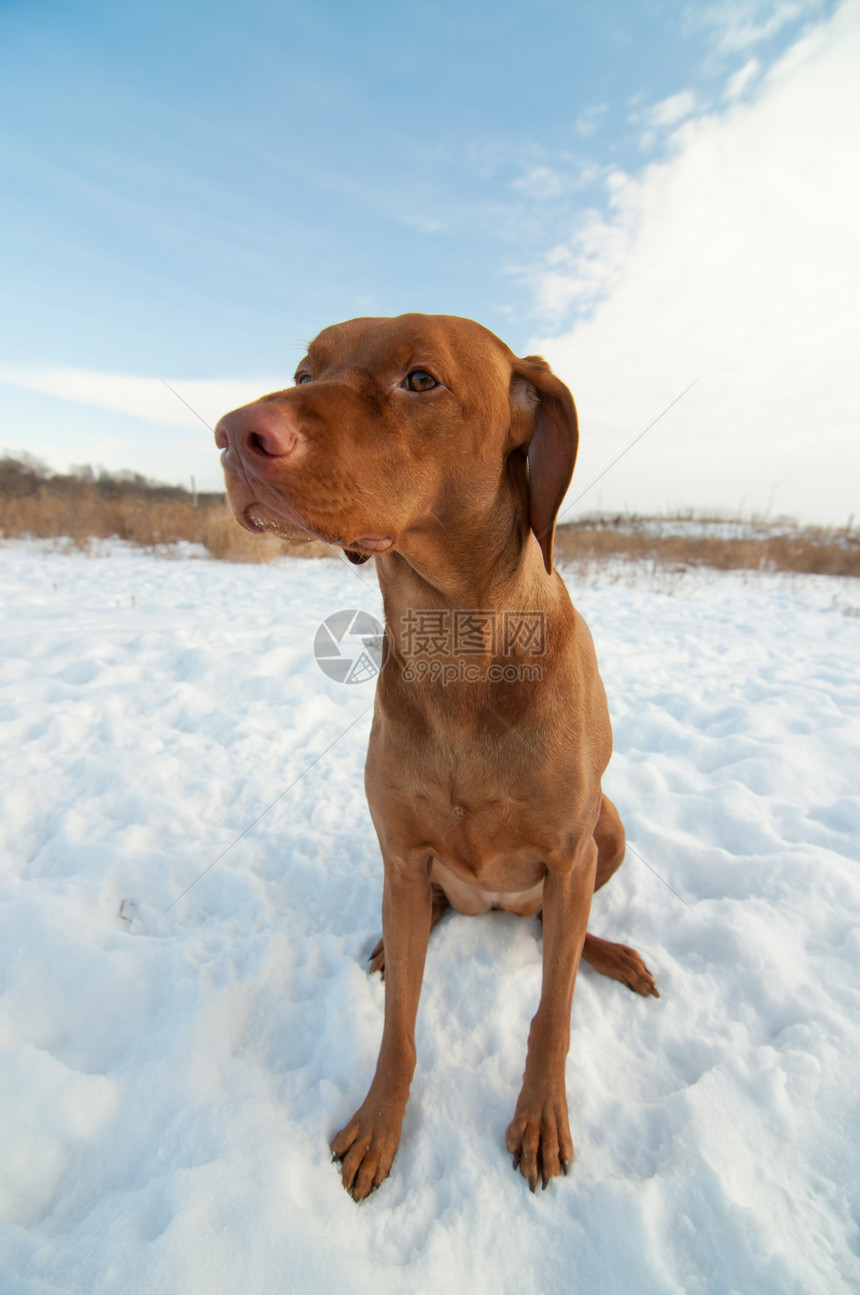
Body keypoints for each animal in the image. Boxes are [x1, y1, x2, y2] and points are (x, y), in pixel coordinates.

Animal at [215, 313, 657, 1201]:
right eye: (304, 371)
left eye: (421, 379)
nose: (236, 435)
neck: (455, 647)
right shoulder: (402, 846)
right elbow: (399, 1031)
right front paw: (379, 1126)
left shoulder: (568, 852)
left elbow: (552, 1013)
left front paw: (541, 1118)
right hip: (415, 873)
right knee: (426, 911)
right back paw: (397, 940)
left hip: (607, 830)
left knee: (564, 928)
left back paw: (610, 951)